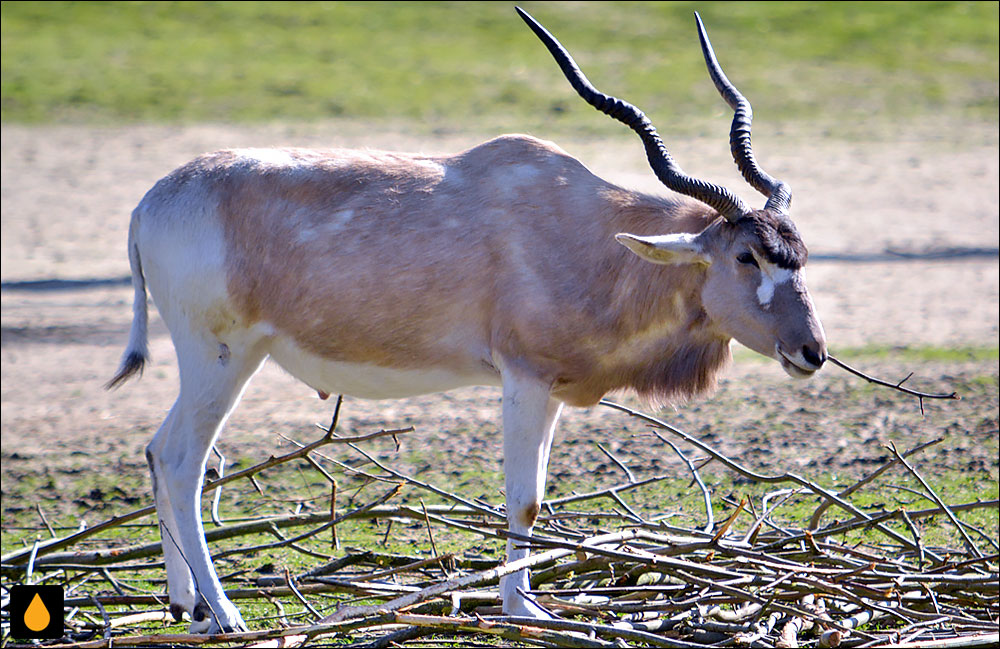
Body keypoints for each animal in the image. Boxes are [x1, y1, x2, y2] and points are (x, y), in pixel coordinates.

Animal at [111, 7, 828, 632]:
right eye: (745, 255)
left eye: (799, 251)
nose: (811, 351)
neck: (587, 232)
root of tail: (149, 204)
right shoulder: (523, 377)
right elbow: (524, 498)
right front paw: (523, 610)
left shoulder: (552, 388)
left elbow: (535, 495)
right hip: (222, 356)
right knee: (181, 460)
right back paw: (224, 614)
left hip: (218, 362)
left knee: (157, 450)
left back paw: (185, 605)